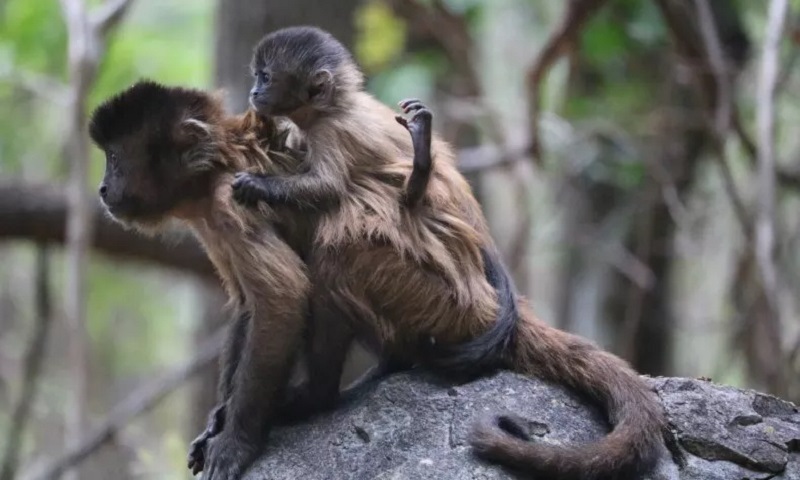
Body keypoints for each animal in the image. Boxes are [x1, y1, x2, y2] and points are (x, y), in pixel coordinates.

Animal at [233, 27, 668, 480]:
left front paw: (257, 185)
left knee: (338, 250)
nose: (254, 91)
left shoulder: (332, 131)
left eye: (266, 76)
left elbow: (327, 188)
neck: (333, 106)